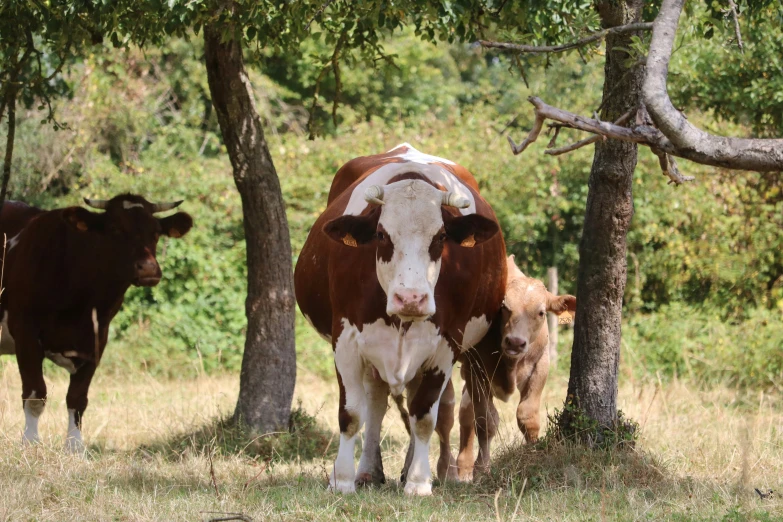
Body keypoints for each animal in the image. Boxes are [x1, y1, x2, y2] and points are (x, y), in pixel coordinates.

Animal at [0, 193, 193, 448]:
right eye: (115, 229)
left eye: (156, 232)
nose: (149, 268)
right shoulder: (26, 333)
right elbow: (35, 394)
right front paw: (30, 442)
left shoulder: (97, 338)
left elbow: (77, 398)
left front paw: (74, 446)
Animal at [294, 144, 508, 494]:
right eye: (382, 235)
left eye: (441, 236)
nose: (411, 298)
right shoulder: (346, 340)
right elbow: (351, 414)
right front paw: (342, 479)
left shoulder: (446, 344)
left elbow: (423, 415)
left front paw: (419, 482)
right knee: (376, 404)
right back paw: (368, 471)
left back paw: (406, 470)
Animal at [454, 254, 576, 478]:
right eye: (504, 308)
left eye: (541, 312)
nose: (515, 342)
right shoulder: (476, 369)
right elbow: (486, 420)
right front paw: (482, 468)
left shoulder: (541, 364)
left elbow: (527, 416)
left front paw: (531, 455)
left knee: (465, 410)